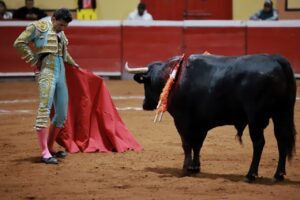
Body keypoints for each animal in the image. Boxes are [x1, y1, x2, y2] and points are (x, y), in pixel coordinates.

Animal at [129, 54, 298, 182]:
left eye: (146, 84)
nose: (145, 105)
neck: (173, 78)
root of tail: (277, 60)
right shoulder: (200, 124)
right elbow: (198, 144)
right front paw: (195, 167)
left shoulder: (182, 120)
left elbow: (186, 144)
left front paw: (185, 169)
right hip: (282, 113)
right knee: (282, 139)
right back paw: (278, 175)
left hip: (256, 118)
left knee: (259, 143)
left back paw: (250, 175)